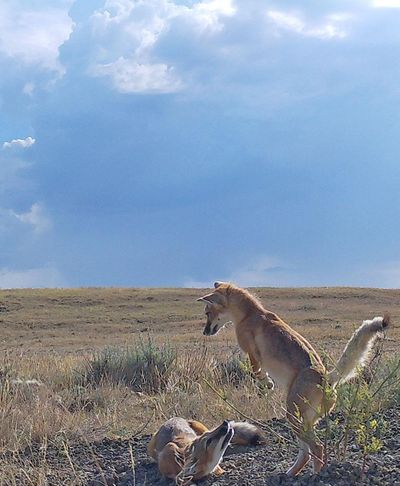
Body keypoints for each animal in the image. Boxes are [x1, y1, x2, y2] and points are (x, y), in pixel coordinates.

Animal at [198, 282, 390, 476]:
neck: (251, 313)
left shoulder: (252, 354)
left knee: (317, 448)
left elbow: (257, 372)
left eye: (207, 312)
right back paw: (291, 474)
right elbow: (259, 372)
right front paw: (267, 384)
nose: (205, 332)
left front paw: (267, 384)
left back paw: (315, 475)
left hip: (293, 417)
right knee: (307, 454)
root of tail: (327, 378)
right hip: (302, 422)